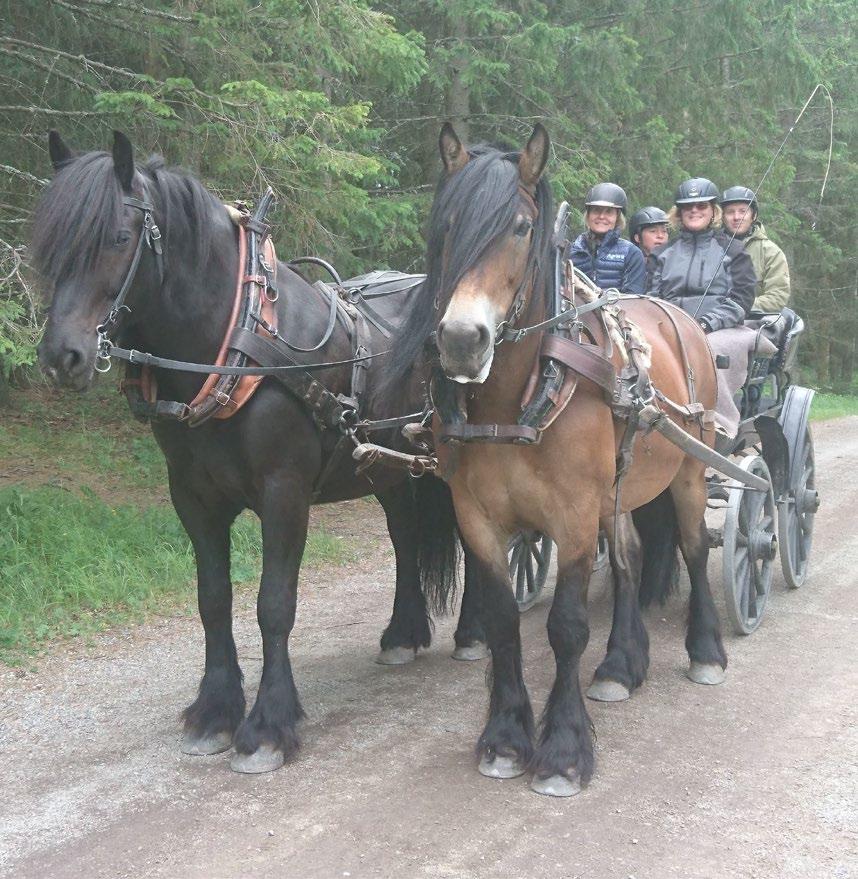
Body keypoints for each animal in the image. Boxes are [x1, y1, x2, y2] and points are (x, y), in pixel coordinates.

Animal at [33, 132, 482, 776]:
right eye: (47, 244)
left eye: (118, 238)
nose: (60, 357)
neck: (235, 346)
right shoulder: (193, 498)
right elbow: (213, 600)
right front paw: (215, 711)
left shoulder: (284, 493)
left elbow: (274, 604)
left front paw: (268, 724)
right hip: (387, 468)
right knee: (404, 538)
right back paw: (403, 633)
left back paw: (473, 633)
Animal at [382, 125, 724, 796]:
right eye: (447, 223)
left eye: (519, 227)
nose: (460, 341)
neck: (519, 398)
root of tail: (678, 313)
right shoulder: (480, 520)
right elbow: (502, 623)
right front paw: (505, 738)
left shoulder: (573, 517)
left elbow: (565, 627)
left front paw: (563, 750)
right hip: (619, 490)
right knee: (630, 559)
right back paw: (621, 665)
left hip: (690, 474)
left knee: (696, 549)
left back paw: (706, 651)